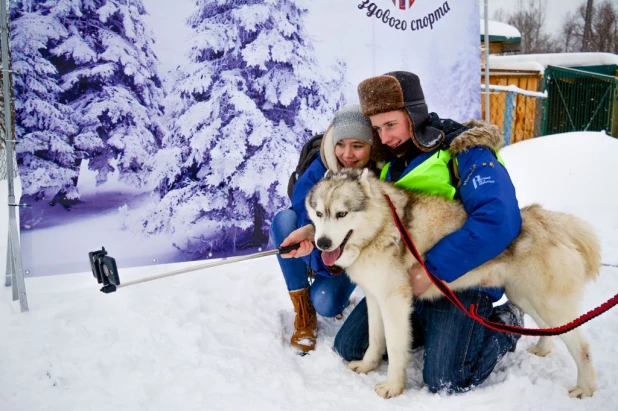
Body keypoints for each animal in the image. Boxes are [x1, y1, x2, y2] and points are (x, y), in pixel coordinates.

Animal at [306, 167, 600, 400]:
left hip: (548, 303)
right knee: (550, 330)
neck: (380, 227)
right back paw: (541, 348)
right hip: (528, 298)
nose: (322, 243)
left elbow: (395, 348)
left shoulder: (395, 303)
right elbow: (376, 341)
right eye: (319, 213)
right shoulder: (374, 299)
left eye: (342, 214)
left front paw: (392, 387)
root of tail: (547, 219)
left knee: (582, 347)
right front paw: (368, 366)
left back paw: (585, 389)